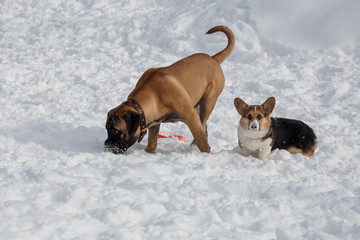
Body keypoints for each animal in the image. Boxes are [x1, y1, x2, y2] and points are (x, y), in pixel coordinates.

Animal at [104, 25, 235, 154]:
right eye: (106, 129)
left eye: (115, 130)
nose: (106, 145)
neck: (154, 94)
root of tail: (213, 59)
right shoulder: (154, 121)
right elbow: (152, 140)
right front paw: (149, 152)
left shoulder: (191, 115)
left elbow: (200, 138)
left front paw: (206, 153)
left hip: (207, 103)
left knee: (202, 127)